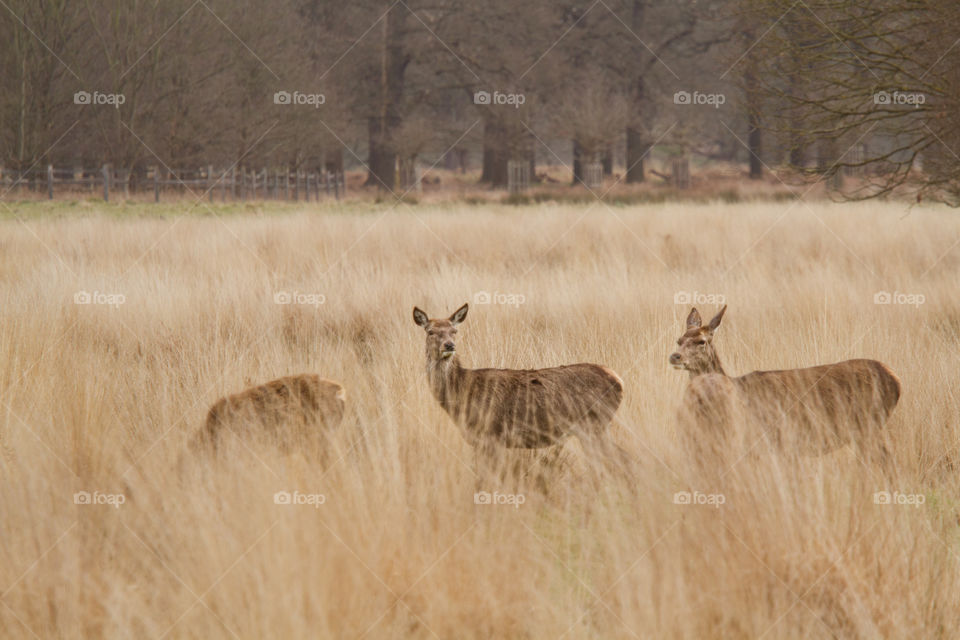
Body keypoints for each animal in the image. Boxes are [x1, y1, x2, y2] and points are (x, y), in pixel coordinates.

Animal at [410, 302, 624, 472]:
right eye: (430, 331)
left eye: (454, 331)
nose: (449, 345)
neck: (462, 394)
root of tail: (618, 380)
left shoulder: (492, 435)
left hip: (594, 425)